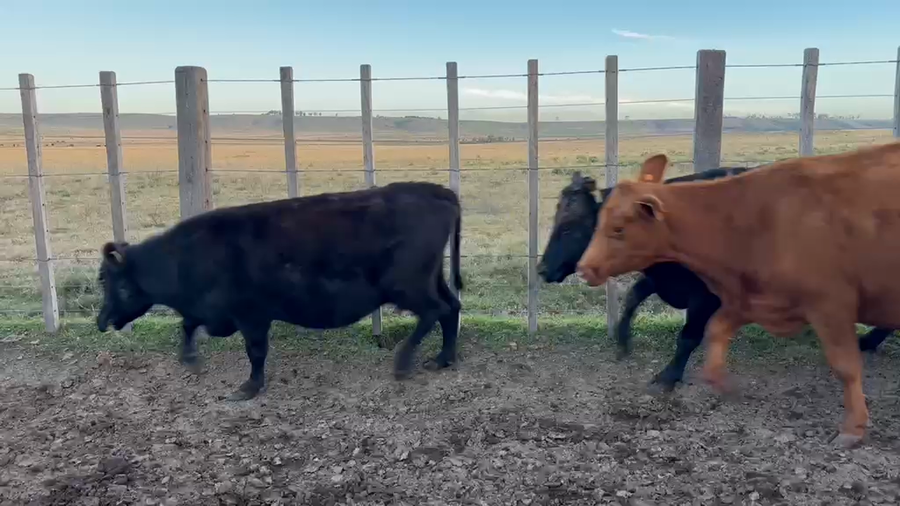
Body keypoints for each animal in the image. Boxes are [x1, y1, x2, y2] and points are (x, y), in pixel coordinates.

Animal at [96, 181, 463, 401]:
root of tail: (435, 191)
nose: (101, 321)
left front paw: (249, 387)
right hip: (432, 279)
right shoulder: (215, 314)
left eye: (118, 285)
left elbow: (256, 351)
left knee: (436, 311)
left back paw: (404, 362)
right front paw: (190, 359)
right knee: (451, 308)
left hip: (408, 286)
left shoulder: (251, 315)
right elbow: (187, 326)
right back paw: (442, 359)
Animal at [537, 170, 894, 391]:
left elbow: (688, 336)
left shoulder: (705, 297)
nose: (541, 269)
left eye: (569, 227)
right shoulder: (663, 279)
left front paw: (668, 377)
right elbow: (633, 298)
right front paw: (623, 341)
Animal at [575, 142, 900, 447]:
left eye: (618, 228)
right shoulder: (753, 299)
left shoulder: (830, 306)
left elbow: (846, 367)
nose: (583, 268)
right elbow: (716, 331)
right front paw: (725, 385)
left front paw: (852, 429)